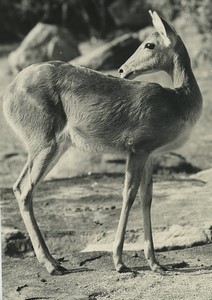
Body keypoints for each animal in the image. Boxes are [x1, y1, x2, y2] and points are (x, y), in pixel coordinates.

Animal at [2, 11, 202, 274]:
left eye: (149, 44)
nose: (122, 69)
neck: (177, 100)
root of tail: (10, 90)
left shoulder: (151, 155)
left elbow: (146, 198)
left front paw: (156, 263)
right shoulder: (137, 150)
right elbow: (128, 195)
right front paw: (119, 262)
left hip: (49, 148)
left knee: (17, 186)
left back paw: (55, 261)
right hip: (46, 145)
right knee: (25, 190)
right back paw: (51, 265)